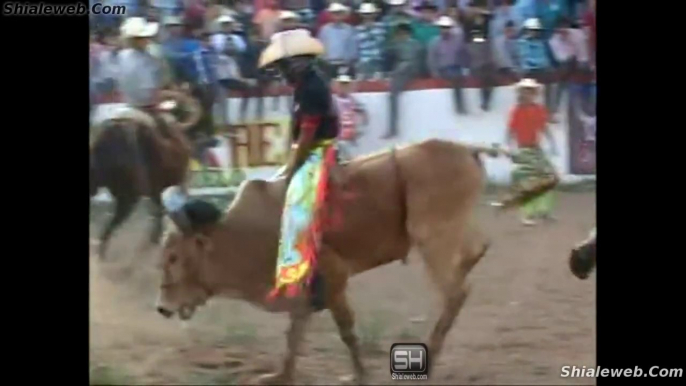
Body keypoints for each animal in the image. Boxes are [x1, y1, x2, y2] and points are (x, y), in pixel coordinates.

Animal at [156, 140, 520, 384]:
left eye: (174, 257)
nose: (162, 307)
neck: (243, 236)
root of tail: (464, 148)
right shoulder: (302, 296)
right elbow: (293, 336)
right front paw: (280, 376)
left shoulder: (333, 279)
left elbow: (345, 331)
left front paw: (360, 374)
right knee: (475, 252)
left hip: (431, 238)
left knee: (456, 292)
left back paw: (431, 352)